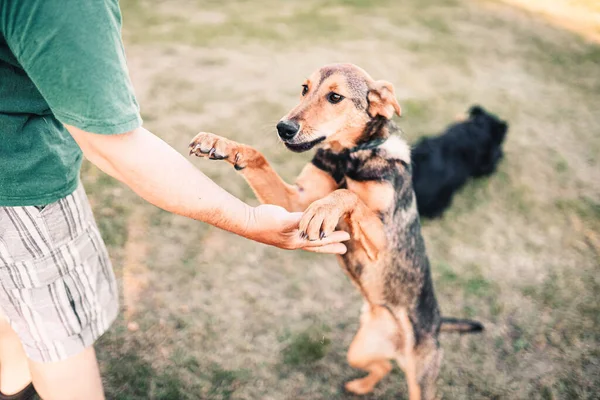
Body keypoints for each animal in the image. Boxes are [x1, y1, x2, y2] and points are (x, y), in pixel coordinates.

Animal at [190, 64, 480, 398]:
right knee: (382, 366)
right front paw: (221, 144)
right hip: (359, 350)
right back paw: (359, 385)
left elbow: (348, 196)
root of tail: (437, 323)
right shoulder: (294, 200)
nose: (283, 128)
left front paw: (326, 209)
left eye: (335, 97)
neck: (347, 158)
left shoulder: (384, 238)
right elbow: (259, 157)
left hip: (420, 377)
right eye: (304, 89)